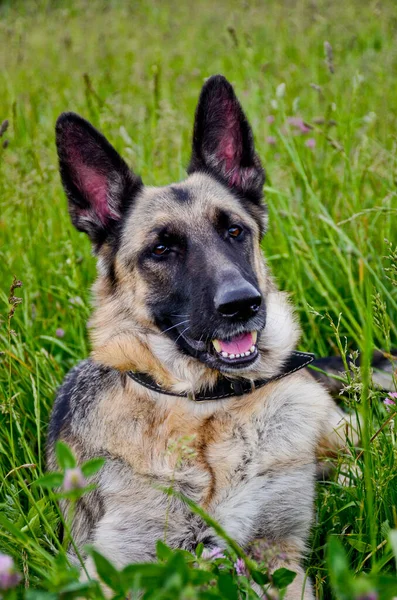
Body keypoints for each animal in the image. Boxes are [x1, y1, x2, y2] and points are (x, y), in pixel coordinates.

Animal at [46, 76, 374, 600]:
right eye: (162, 249)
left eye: (234, 231)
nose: (242, 305)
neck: (208, 409)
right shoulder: (116, 570)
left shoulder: (279, 554)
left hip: (329, 430)